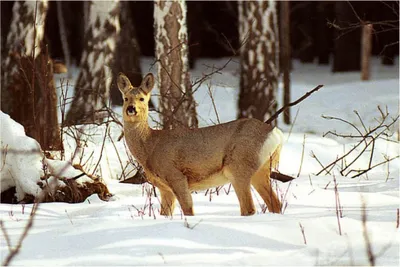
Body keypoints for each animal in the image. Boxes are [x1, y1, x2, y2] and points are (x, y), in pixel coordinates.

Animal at [119, 72, 284, 217]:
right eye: (125, 98)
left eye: (142, 98)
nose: (131, 109)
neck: (150, 146)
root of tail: (275, 133)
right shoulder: (164, 188)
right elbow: (165, 214)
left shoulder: (176, 175)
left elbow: (188, 209)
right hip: (261, 170)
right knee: (275, 203)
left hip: (238, 166)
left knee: (249, 208)